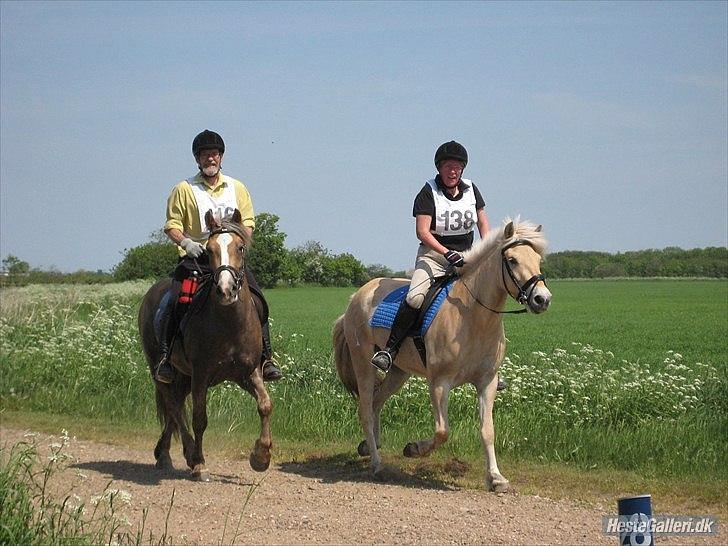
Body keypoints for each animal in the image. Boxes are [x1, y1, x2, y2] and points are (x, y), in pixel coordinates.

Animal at [138, 208, 272, 480]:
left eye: (240, 247)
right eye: (209, 250)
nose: (226, 289)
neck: (229, 323)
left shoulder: (248, 373)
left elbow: (265, 405)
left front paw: (261, 457)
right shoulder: (201, 375)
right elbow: (199, 419)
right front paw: (199, 463)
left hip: (183, 376)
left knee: (175, 406)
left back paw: (164, 454)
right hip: (161, 371)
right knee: (173, 406)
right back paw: (187, 454)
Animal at [332, 219, 548, 490]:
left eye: (538, 260)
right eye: (512, 260)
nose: (542, 299)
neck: (474, 317)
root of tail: (356, 296)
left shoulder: (487, 381)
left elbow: (487, 430)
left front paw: (496, 478)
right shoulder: (439, 383)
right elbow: (442, 431)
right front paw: (413, 449)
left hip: (399, 372)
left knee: (376, 402)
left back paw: (368, 447)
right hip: (363, 363)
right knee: (365, 410)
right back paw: (377, 464)